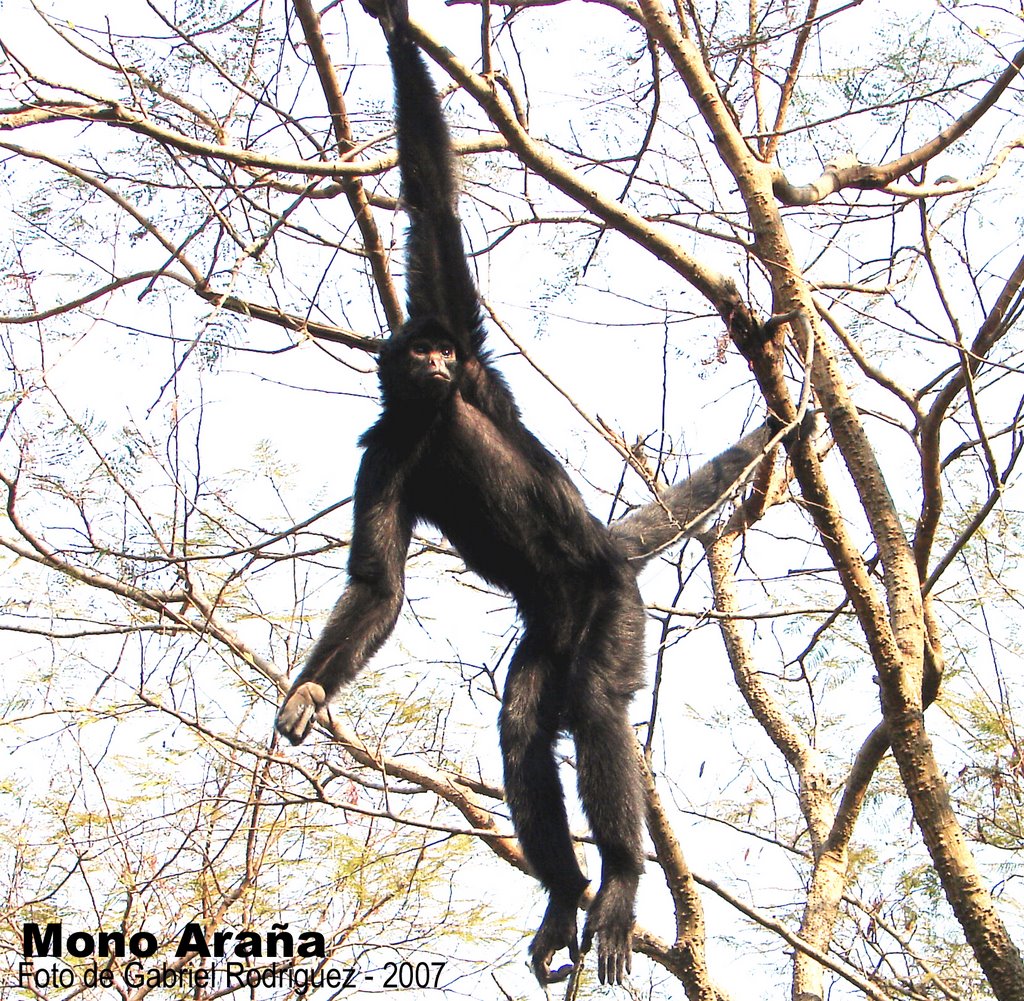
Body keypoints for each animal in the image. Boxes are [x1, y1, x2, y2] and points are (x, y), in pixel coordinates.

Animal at [276, 0, 770, 982]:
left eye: (440, 347)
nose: (432, 361)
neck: (432, 417)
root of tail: (604, 553)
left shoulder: (474, 365)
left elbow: (434, 205)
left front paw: (396, 28)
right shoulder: (385, 449)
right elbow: (380, 586)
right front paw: (313, 690)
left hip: (610, 602)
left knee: (595, 703)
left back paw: (616, 880)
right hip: (551, 624)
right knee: (523, 724)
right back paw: (564, 890)